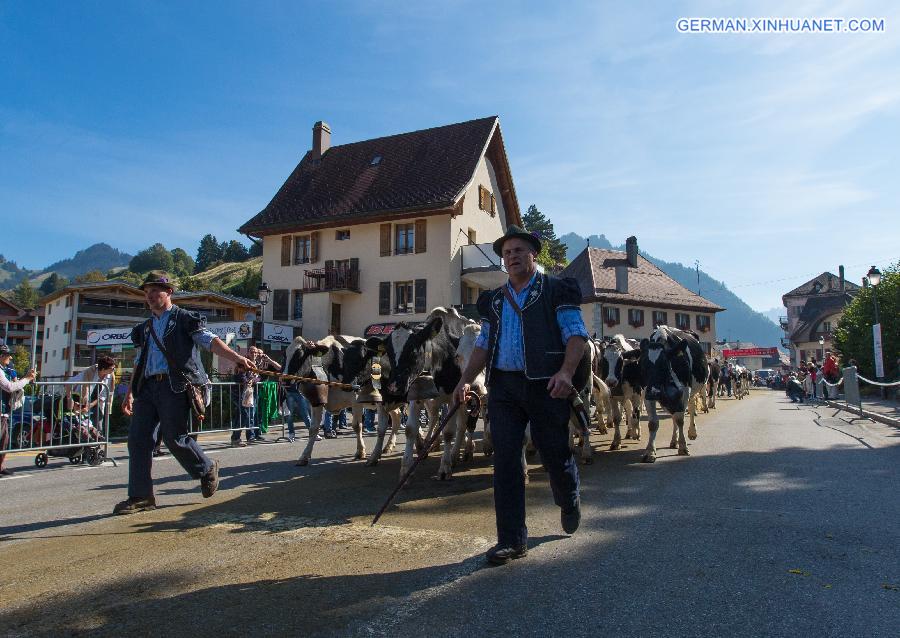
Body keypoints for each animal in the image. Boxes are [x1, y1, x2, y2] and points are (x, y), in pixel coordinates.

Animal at [640, 328, 712, 462]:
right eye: (643, 365)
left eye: (663, 364)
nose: (654, 392)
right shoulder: (646, 392)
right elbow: (653, 423)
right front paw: (650, 452)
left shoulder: (684, 391)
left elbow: (680, 420)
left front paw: (683, 447)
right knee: (673, 416)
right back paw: (674, 441)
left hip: (692, 392)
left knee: (691, 408)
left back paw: (692, 432)